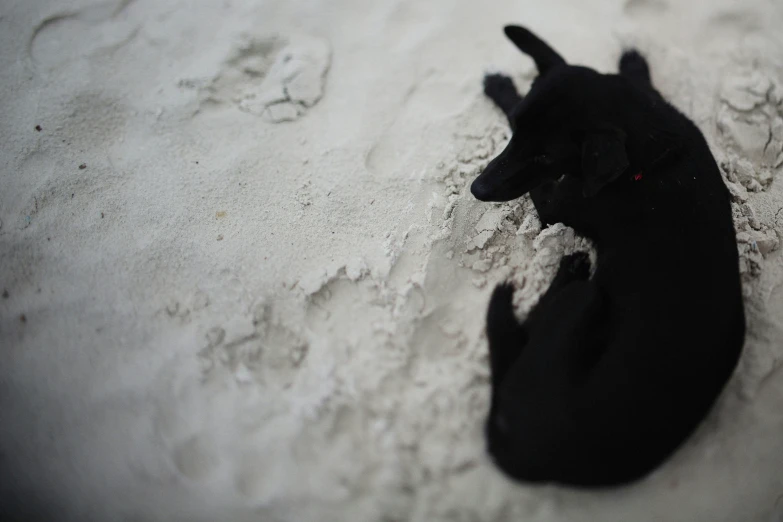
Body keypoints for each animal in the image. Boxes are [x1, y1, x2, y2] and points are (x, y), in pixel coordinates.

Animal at [474, 26, 744, 486]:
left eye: (546, 155)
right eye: (515, 132)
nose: (478, 188)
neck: (652, 151)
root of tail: (520, 451)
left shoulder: (556, 201)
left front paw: (500, 89)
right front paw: (633, 63)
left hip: (583, 301)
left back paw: (570, 267)